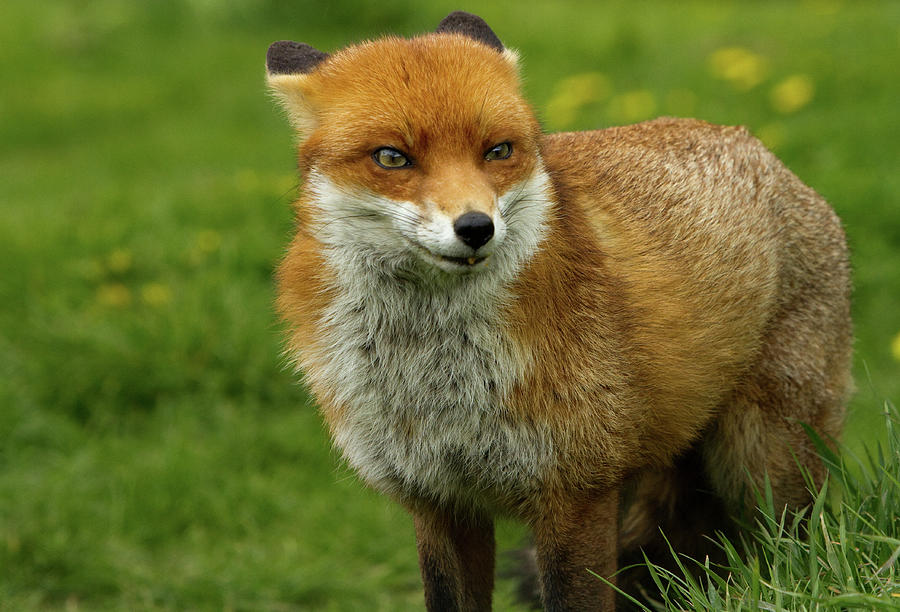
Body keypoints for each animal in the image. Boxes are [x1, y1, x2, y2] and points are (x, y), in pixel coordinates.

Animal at [266, 10, 852, 612]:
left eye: (498, 151)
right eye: (392, 157)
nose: (476, 227)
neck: (437, 374)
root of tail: (757, 147)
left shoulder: (576, 491)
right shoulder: (440, 501)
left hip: (764, 464)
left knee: (792, 546)